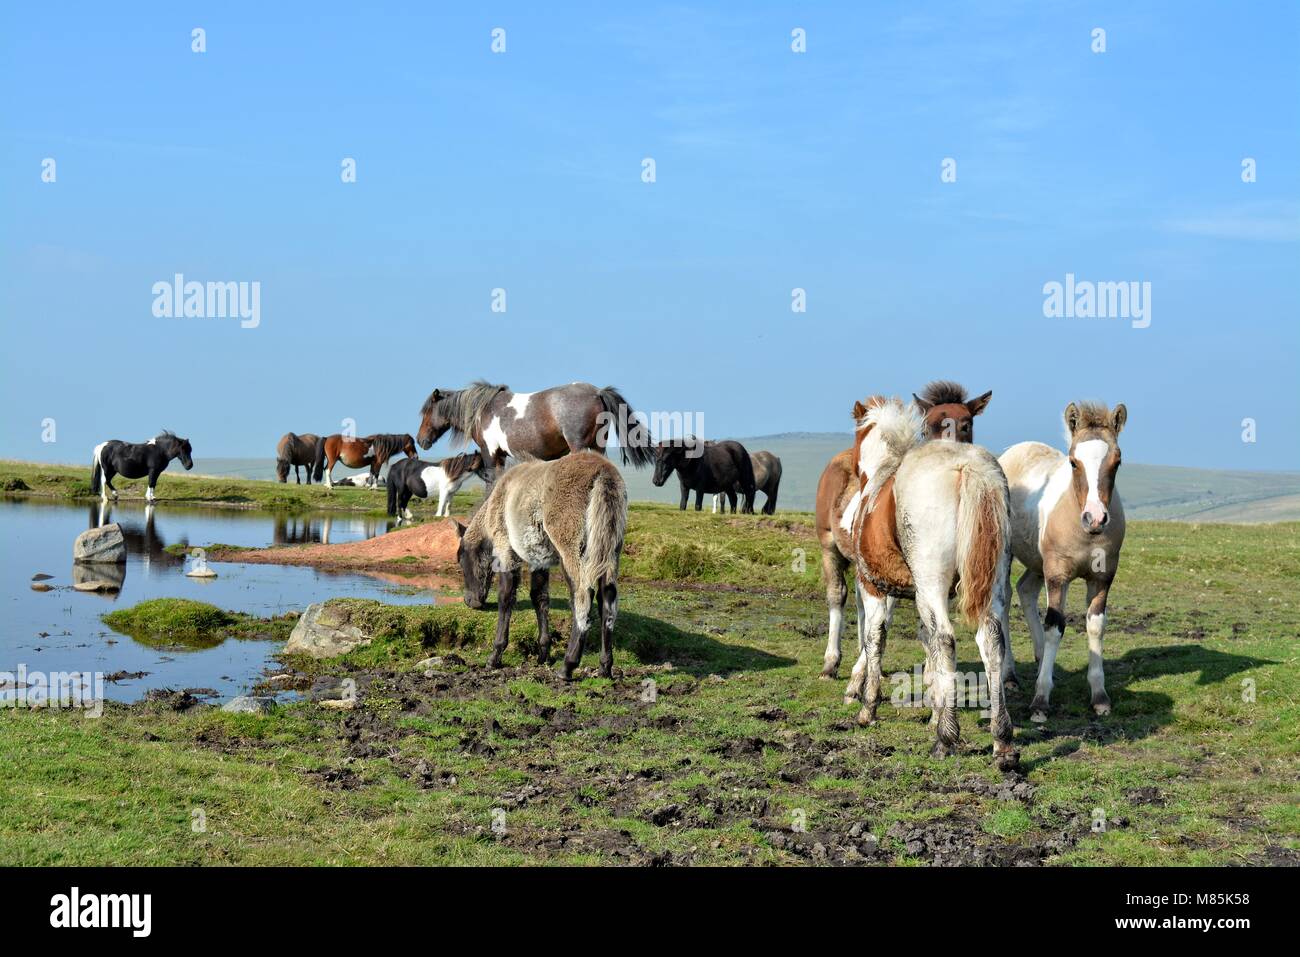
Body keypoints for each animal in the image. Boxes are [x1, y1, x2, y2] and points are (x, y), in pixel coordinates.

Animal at [416, 381, 655, 483]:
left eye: (427, 412)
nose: (420, 440)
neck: (483, 410)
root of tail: (597, 392)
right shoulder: (501, 455)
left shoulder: (490, 452)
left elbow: (491, 481)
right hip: (598, 445)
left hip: (578, 446)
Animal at [455, 451, 628, 680]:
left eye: (460, 558)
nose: (469, 601)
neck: (498, 496)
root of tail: (603, 473)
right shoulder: (539, 559)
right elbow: (540, 597)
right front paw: (543, 653)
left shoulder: (505, 550)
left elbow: (506, 597)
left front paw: (494, 657)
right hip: (609, 553)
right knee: (607, 600)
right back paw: (605, 667)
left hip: (572, 551)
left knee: (582, 595)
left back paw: (567, 666)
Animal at [836, 397, 1016, 769]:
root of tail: (966, 467)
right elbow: (925, 642)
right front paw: (934, 710)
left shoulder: (873, 586)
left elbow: (875, 639)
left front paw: (867, 709)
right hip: (991, 583)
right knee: (991, 640)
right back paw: (1002, 740)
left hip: (929, 582)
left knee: (945, 639)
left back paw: (946, 739)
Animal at [999, 401, 1128, 722]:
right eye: (1073, 462)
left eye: (1117, 461)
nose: (1095, 518)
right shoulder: (1057, 575)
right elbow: (1054, 626)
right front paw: (1040, 702)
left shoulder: (1102, 577)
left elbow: (1096, 625)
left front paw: (1100, 697)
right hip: (1009, 555)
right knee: (1004, 599)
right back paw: (1010, 676)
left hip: (1037, 562)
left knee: (1026, 590)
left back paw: (1040, 659)